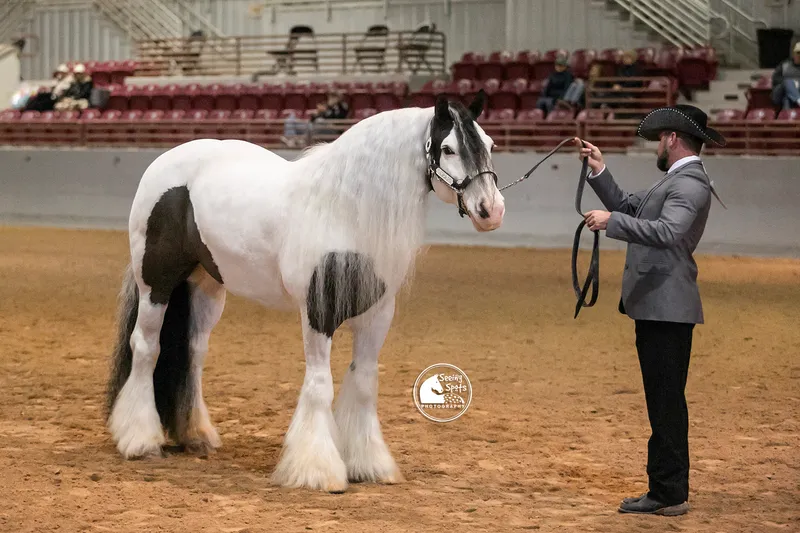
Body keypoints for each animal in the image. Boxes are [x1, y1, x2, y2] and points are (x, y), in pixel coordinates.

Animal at [104, 90, 505, 493]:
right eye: (449, 148)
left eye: (489, 144)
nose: (491, 210)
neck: (344, 210)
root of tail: (164, 163)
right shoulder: (318, 312)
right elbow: (319, 384)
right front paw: (317, 470)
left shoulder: (376, 316)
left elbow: (364, 383)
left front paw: (369, 465)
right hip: (156, 283)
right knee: (146, 346)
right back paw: (140, 440)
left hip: (206, 287)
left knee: (193, 353)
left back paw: (196, 435)